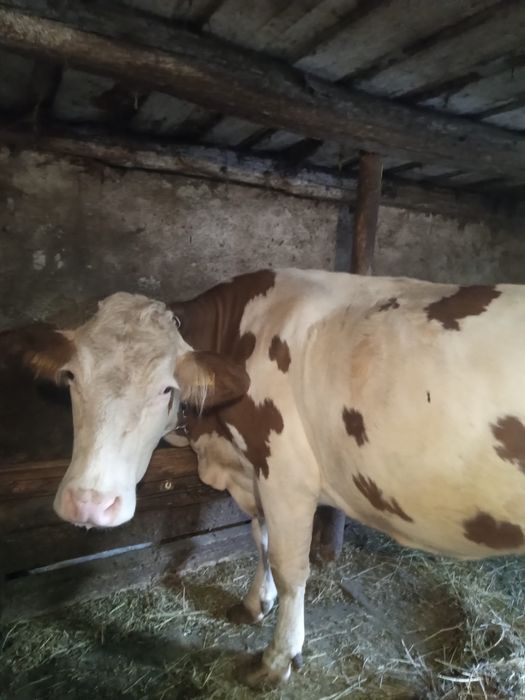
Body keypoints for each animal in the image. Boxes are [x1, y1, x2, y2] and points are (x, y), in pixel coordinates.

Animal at [4, 268, 525, 687]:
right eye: (72, 378)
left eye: (167, 389)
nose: (90, 503)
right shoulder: (255, 471)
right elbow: (260, 537)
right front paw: (256, 603)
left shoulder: (287, 473)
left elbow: (291, 566)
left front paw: (277, 659)